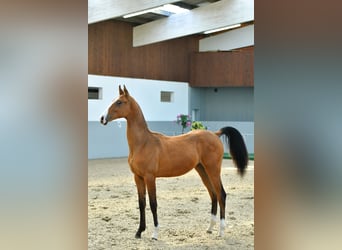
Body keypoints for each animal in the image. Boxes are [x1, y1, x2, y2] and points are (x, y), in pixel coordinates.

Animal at [99, 86, 248, 240]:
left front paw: (155, 234)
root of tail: (215, 134)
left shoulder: (150, 177)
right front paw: (139, 231)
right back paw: (210, 228)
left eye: (119, 102)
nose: (102, 118)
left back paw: (221, 231)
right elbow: (142, 203)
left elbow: (153, 204)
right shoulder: (138, 177)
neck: (143, 143)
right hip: (202, 170)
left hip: (213, 170)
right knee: (213, 195)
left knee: (221, 195)